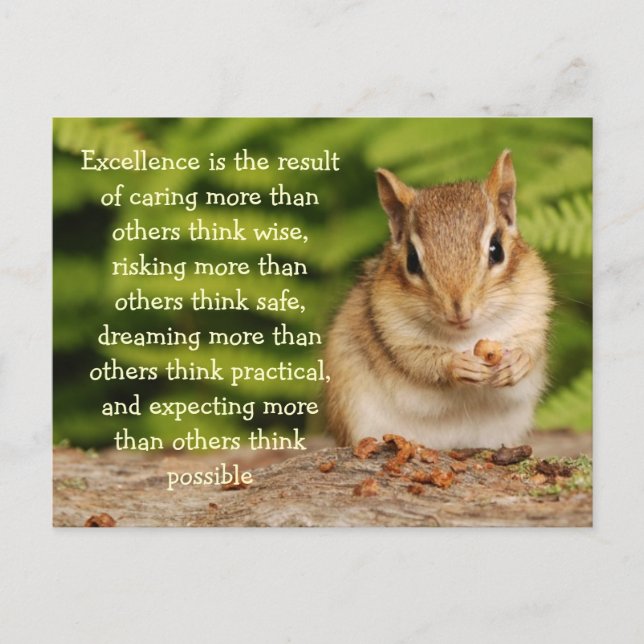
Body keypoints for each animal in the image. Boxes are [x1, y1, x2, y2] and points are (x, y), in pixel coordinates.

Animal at [324, 151, 553, 449]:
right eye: (412, 260)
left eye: (497, 250)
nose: (459, 311)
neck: (467, 336)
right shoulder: (394, 331)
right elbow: (419, 361)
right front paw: (457, 365)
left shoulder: (534, 311)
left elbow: (532, 345)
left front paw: (517, 361)